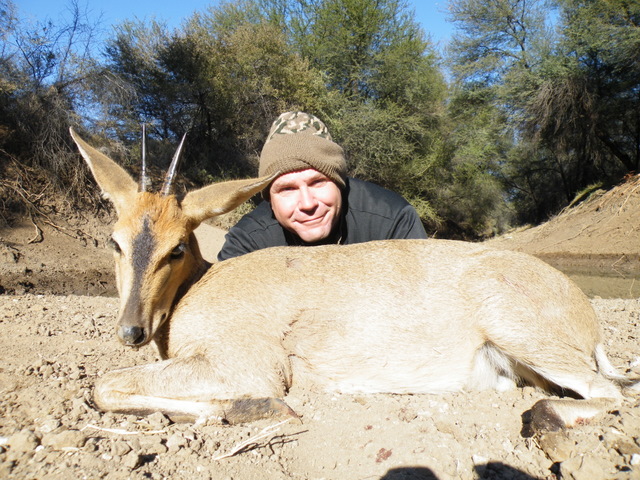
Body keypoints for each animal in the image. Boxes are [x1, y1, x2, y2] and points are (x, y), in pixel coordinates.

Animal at [71, 127, 640, 432]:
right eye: (114, 240)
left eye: (178, 246)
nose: (131, 331)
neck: (197, 291)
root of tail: (586, 317)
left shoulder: (246, 364)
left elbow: (104, 384)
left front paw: (256, 406)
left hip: (524, 335)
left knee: (606, 394)